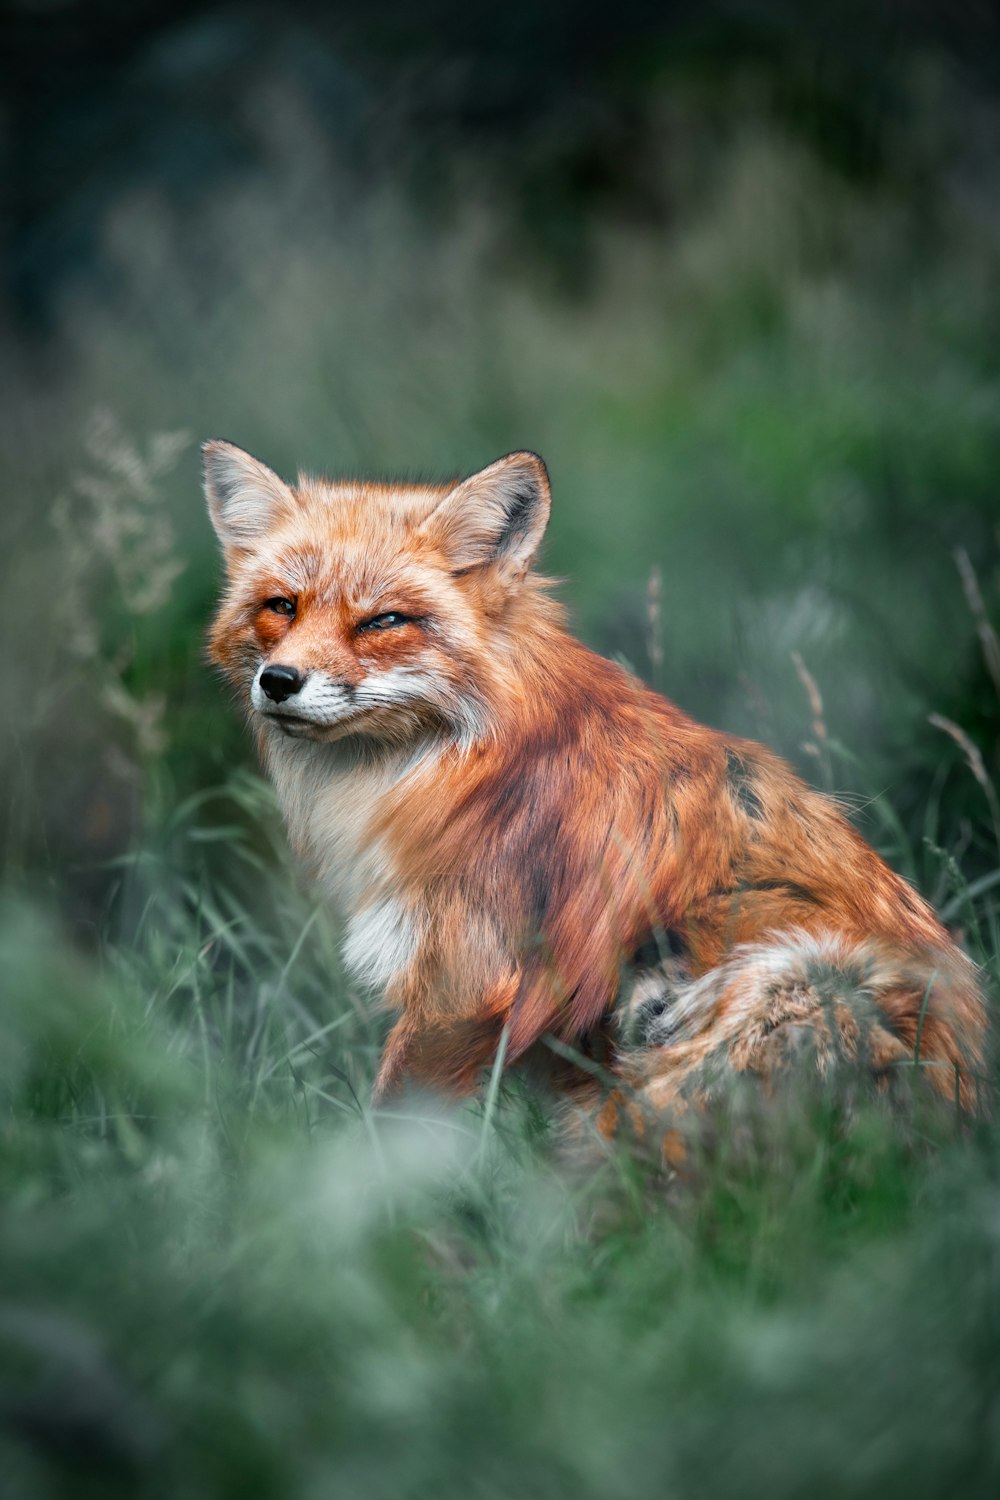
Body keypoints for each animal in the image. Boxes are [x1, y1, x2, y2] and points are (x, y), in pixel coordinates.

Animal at [203, 438, 983, 1140]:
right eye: (281, 607)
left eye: (384, 621)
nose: (279, 681)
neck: (463, 760)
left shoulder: (468, 984)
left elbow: (391, 1137)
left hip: (789, 978)